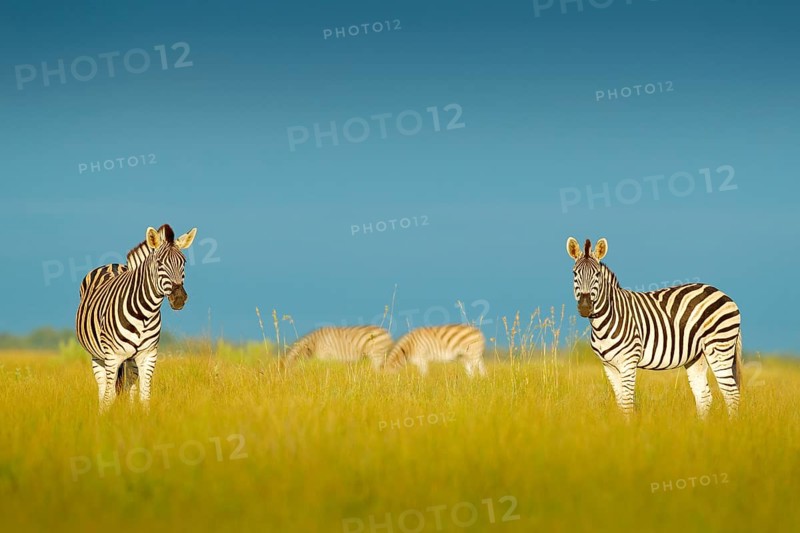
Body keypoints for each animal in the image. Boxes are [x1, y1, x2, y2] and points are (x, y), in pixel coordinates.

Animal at [76, 224, 197, 413]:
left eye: (183, 262)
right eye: (159, 263)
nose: (179, 298)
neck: (144, 314)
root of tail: (112, 264)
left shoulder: (149, 355)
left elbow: (144, 396)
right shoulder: (112, 356)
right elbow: (109, 397)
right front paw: (105, 419)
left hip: (130, 360)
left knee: (129, 386)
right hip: (98, 356)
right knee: (103, 389)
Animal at [566, 237, 742, 418]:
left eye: (597, 275)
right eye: (574, 273)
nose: (585, 307)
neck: (605, 320)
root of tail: (722, 293)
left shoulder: (629, 362)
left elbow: (627, 404)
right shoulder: (609, 365)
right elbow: (621, 403)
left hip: (719, 347)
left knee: (731, 394)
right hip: (697, 356)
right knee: (704, 396)